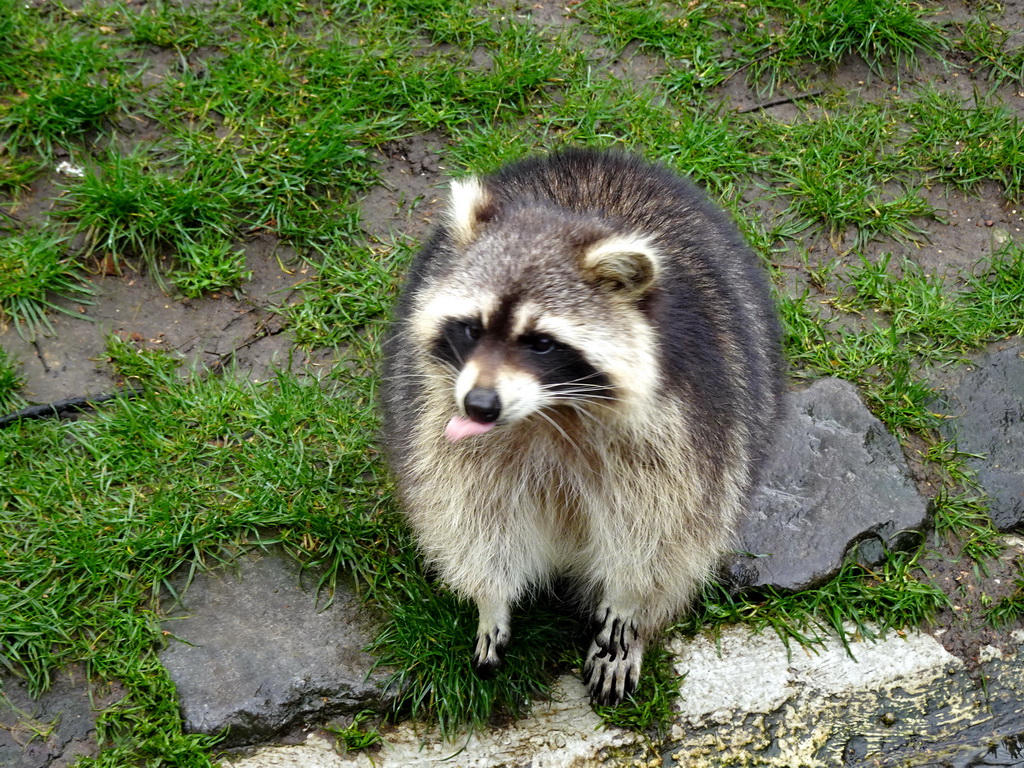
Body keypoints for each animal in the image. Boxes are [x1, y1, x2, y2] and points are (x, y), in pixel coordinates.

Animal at [378, 147, 782, 708]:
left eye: (542, 343)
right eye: (472, 328)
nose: (480, 406)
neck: (547, 413)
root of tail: (598, 156)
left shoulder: (689, 422)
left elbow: (661, 529)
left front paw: (629, 598)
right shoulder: (437, 416)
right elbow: (467, 515)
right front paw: (490, 600)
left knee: (688, 549)